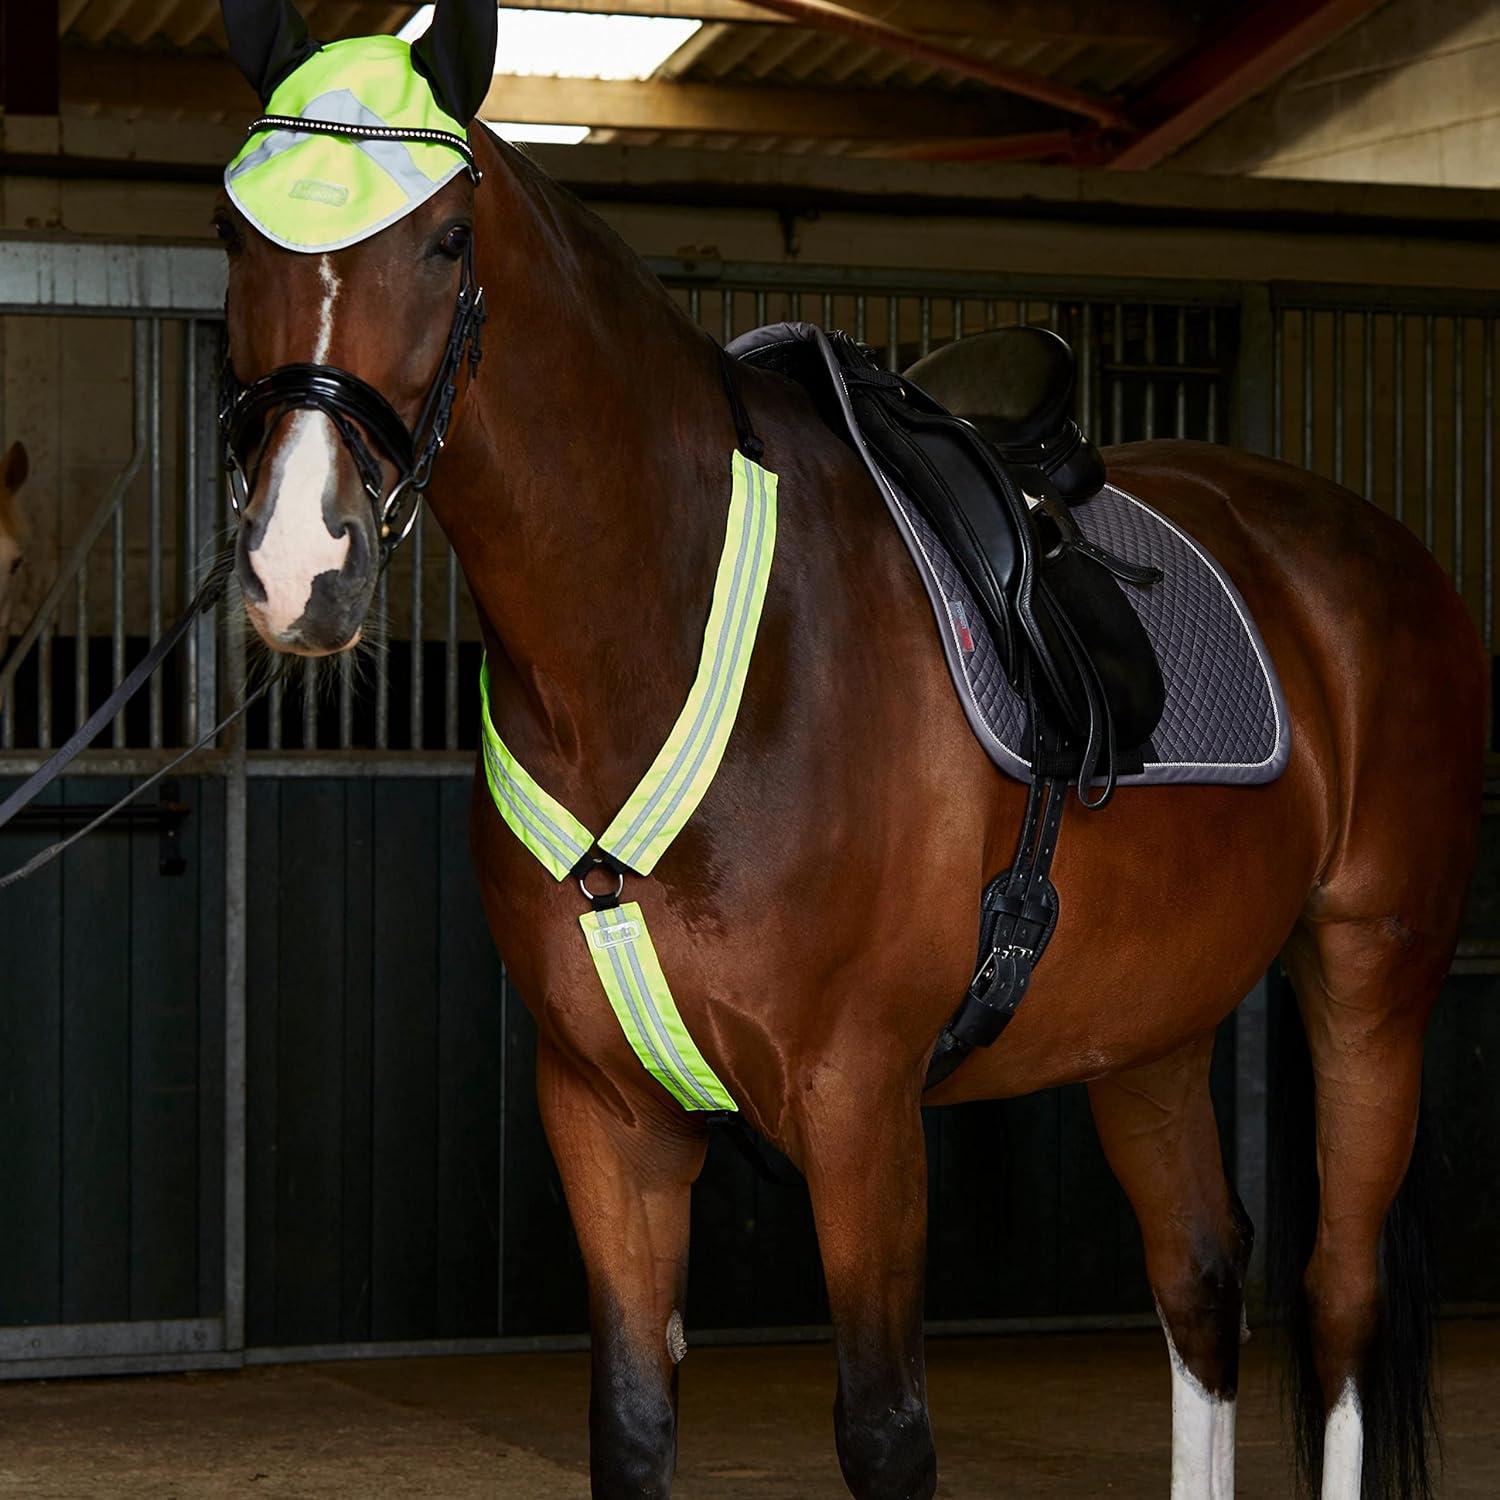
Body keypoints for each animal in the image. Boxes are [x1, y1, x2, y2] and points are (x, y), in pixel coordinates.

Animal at [214, 3, 1485, 1495]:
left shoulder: (860, 1109)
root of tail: (1365, 545)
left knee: (1337, 1299)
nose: (299, 568)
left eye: (449, 240)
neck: (668, 641)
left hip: (1371, 980)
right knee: (1201, 1275)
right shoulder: (606, 1117)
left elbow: (886, 1434)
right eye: (233, 233)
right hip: (1147, 1033)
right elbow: (630, 1423)